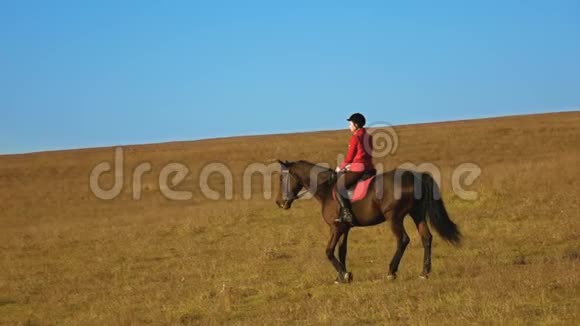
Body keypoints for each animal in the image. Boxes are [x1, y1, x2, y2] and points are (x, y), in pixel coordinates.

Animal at [276, 160, 462, 282]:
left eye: (281, 179)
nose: (279, 202)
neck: (327, 189)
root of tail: (415, 176)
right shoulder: (345, 228)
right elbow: (342, 250)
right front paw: (342, 275)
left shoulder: (335, 227)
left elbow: (329, 251)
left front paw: (344, 274)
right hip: (417, 214)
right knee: (426, 238)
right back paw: (424, 272)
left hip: (394, 217)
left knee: (403, 239)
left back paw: (391, 271)